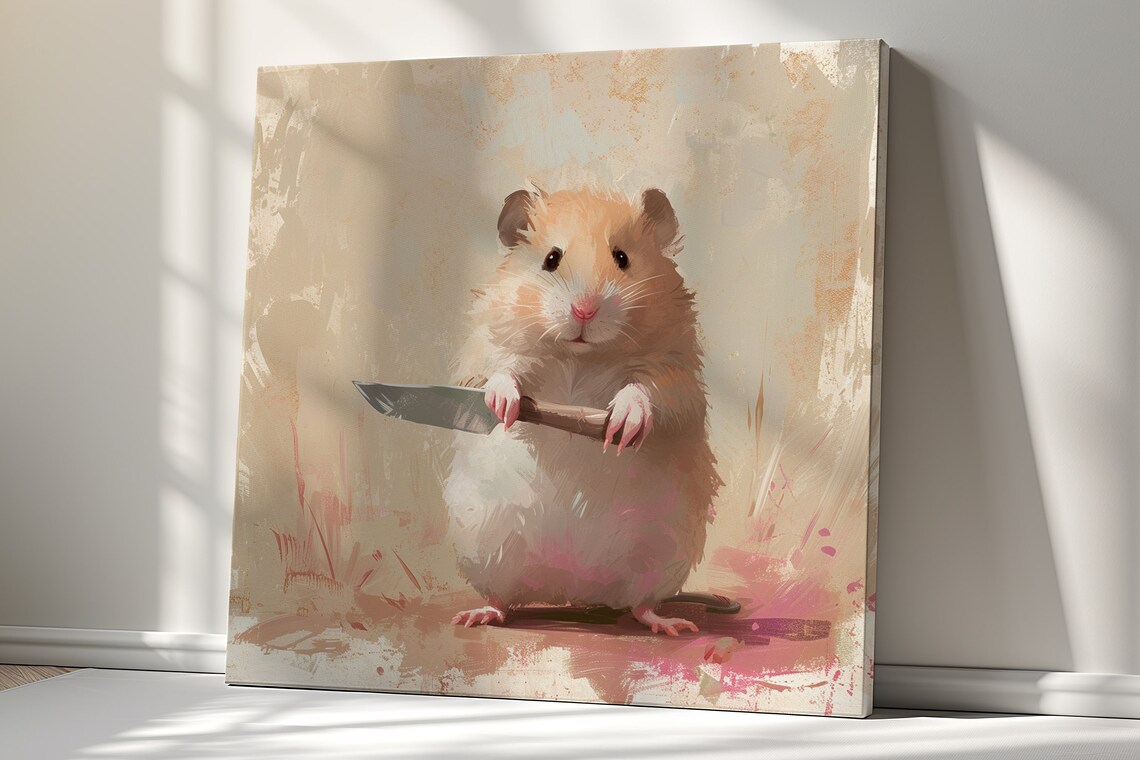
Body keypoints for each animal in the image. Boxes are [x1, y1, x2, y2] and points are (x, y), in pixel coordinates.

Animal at [442, 185, 721, 636]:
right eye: (551, 259)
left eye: (622, 257)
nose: (585, 311)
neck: (580, 356)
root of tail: (573, 589)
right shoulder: (484, 351)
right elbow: (499, 370)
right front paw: (503, 405)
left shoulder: (677, 375)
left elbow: (647, 390)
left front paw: (622, 425)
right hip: (484, 545)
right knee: (501, 598)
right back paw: (476, 615)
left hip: (666, 553)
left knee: (642, 605)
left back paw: (671, 625)